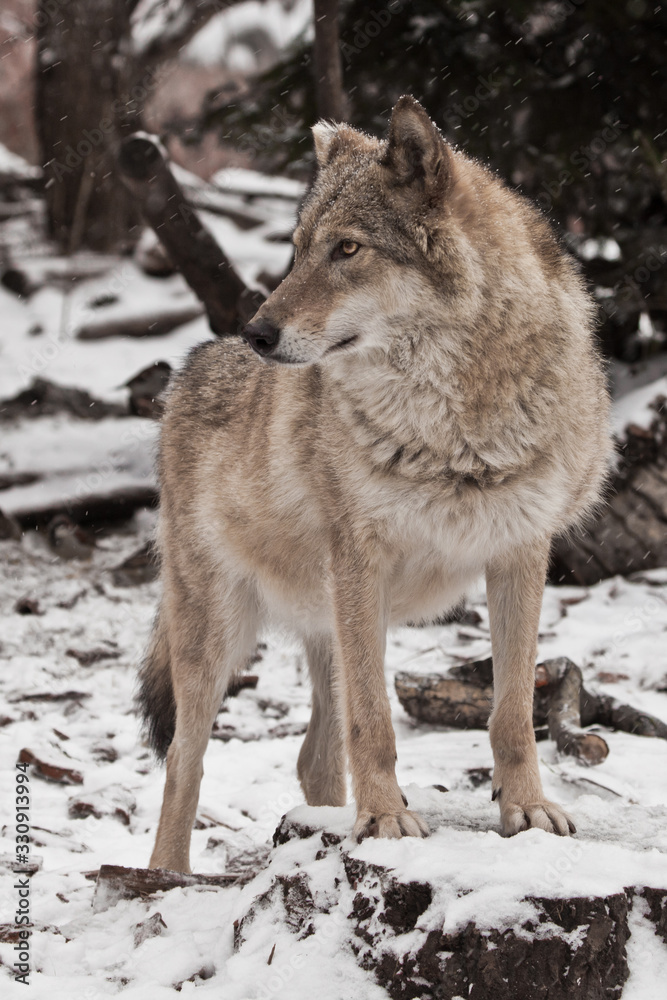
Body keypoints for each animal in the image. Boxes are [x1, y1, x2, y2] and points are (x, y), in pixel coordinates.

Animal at [138, 96, 611, 873]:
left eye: (347, 250)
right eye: (299, 248)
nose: (257, 334)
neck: (458, 420)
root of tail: (187, 369)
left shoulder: (520, 553)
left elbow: (512, 712)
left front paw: (528, 813)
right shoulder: (361, 559)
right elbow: (376, 723)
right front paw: (387, 821)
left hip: (326, 625)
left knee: (312, 756)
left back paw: (321, 823)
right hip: (222, 634)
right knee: (185, 760)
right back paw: (167, 878)